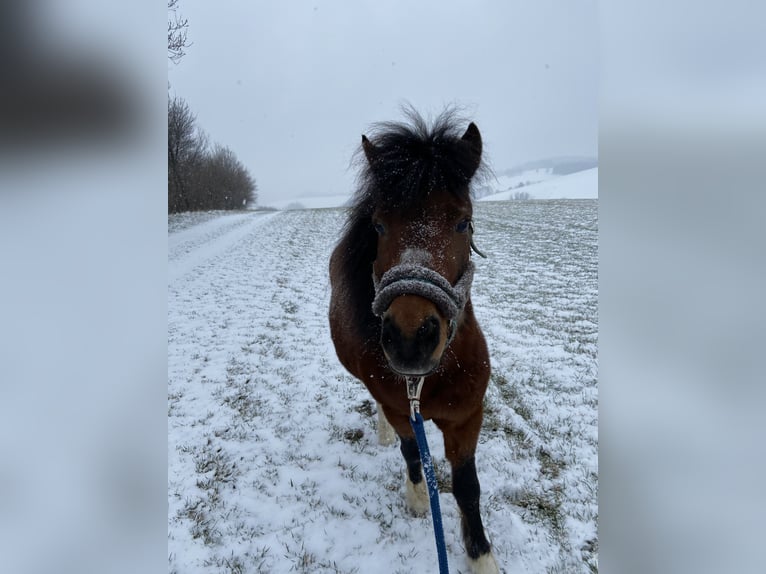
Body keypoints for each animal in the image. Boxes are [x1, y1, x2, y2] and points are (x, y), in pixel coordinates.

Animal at [328, 110, 498, 572]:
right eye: (379, 225)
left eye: (463, 221)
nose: (410, 339)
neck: (431, 378)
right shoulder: (403, 410)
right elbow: (410, 453)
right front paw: (419, 498)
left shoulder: (466, 418)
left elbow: (468, 487)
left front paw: (481, 556)